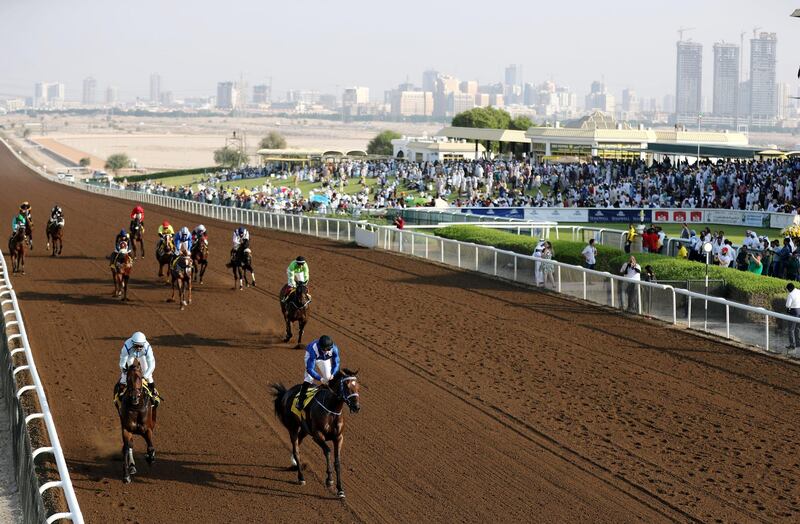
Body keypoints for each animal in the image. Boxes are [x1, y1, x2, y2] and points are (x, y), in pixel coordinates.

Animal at [276, 368, 362, 500]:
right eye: (347, 387)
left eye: (357, 387)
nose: (356, 407)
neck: (331, 409)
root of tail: (286, 393)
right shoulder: (317, 435)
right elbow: (327, 451)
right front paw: (329, 480)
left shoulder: (339, 438)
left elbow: (337, 461)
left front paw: (340, 490)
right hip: (293, 428)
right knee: (296, 449)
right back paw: (301, 477)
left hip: (304, 429)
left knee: (298, 443)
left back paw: (295, 463)